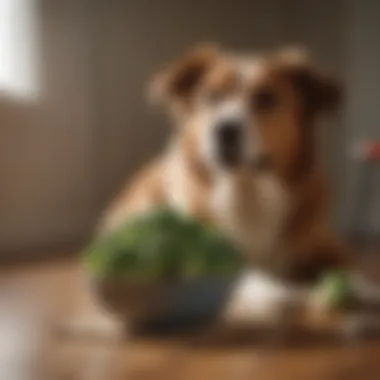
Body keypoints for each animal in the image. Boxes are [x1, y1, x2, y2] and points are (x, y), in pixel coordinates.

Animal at [94, 43, 350, 326]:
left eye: (266, 98)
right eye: (212, 97)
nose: (225, 130)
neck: (246, 190)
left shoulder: (326, 245)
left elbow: (348, 270)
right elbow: (252, 277)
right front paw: (284, 294)